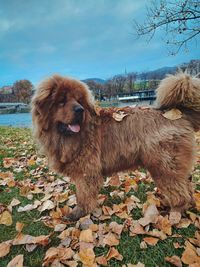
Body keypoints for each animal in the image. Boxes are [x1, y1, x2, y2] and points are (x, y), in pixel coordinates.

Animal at [31, 73, 200, 222]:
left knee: (180, 192)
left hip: (164, 166)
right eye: (61, 101)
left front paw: (79, 213)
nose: (80, 110)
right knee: (187, 187)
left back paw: (175, 214)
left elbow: (83, 195)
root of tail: (178, 113)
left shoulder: (86, 172)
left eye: (79, 100)